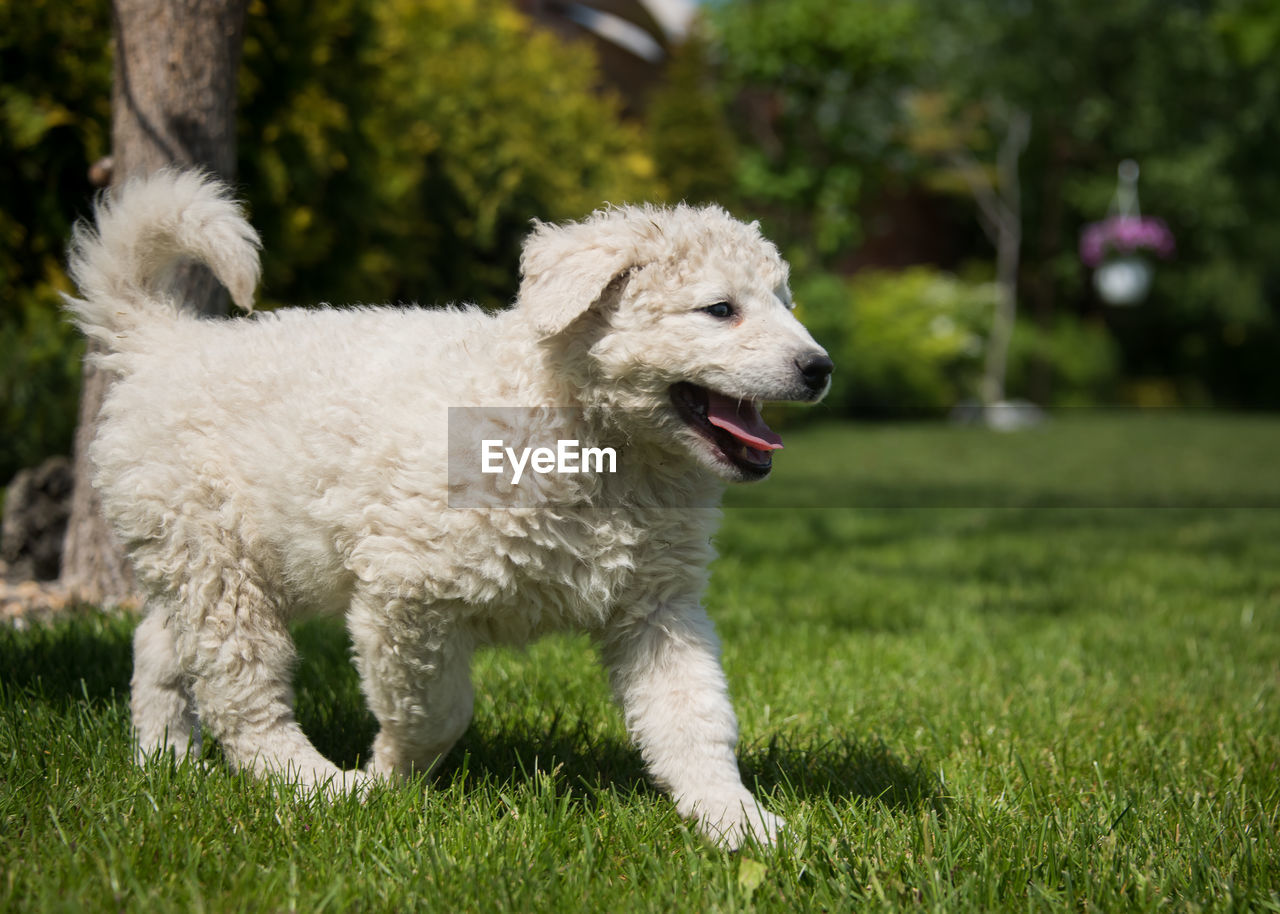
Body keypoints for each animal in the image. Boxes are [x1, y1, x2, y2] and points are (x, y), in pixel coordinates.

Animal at [64, 171, 834, 844]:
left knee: (161, 647)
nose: (821, 368)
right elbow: (435, 710)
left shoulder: (658, 608)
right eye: (720, 309)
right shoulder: (408, 596)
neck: (597, 443)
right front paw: (386, 778)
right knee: (241, 693)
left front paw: (738, 822)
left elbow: (694, 718)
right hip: (218, 559)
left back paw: (165, 762)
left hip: (215, 553)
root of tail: (165, 341)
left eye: (785, 302)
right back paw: (316, 784)